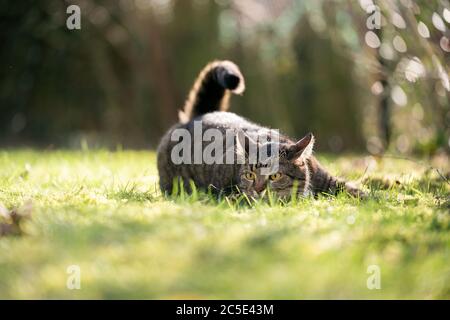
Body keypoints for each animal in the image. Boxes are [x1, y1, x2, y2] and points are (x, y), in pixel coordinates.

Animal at [156, 60, 364, 198]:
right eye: (250, 175)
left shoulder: (329, 180)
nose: (257, 189)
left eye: (275, 176)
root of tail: (201, 114)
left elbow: (353, 189)